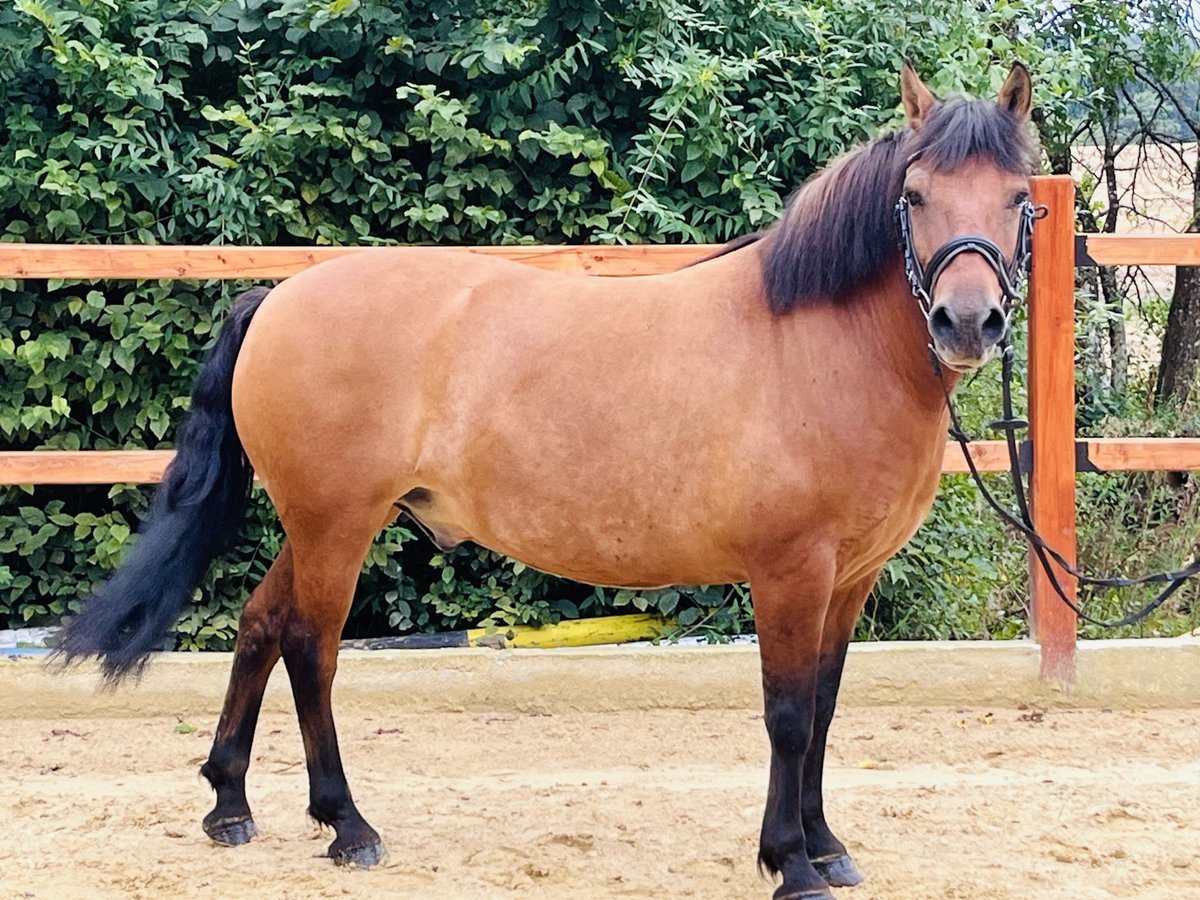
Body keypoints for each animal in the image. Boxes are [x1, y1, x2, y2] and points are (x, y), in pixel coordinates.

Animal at [60, 65, 1041, 900]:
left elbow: (829, 708)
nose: (966, 322)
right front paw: (791, 863)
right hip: (336, 524)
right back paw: (347, 825)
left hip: (317, 524)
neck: (821, 345)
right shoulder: (790, 572)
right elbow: (790, 714)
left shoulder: (850, 576)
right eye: (913, 195)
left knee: (261, 625)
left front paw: (827, 846)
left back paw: (229, 804)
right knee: (311, 649)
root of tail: (277, 298)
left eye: (1020, 198)